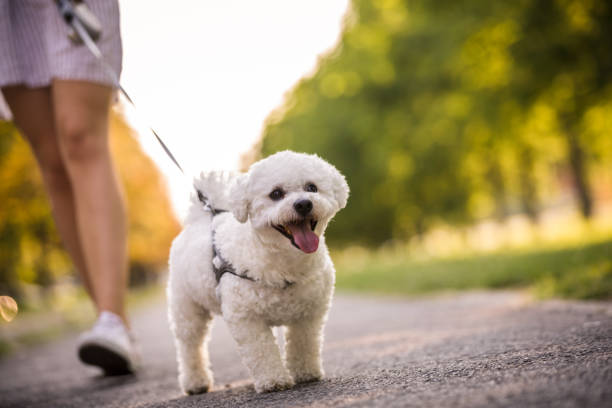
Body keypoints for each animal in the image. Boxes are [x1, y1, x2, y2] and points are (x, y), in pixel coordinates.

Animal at [167, 151, 350, 394]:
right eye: (276, 194)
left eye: (312, 187)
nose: (303, 204)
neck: (284, 262)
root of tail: (200, 219)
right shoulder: (247, 319)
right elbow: (261, 351)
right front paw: (273, 380)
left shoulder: (309, 314)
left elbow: (304, 343)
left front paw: (305, 372)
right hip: (186, 309)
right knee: (190, 345)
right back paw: (195, 382)